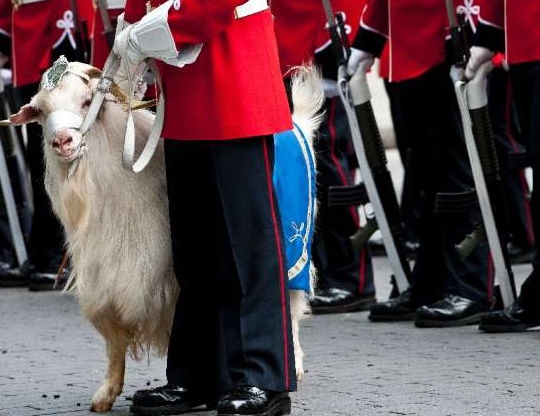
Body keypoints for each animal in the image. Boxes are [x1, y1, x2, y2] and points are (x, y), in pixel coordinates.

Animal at [8, 62, 322, 412]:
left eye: (88, 101)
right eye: (41, 110)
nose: (62, 141)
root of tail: (296, 123)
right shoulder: (110, 277)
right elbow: (115, 341)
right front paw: (107, 393)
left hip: (295, 245)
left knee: (290, 305)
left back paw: (289, 368)